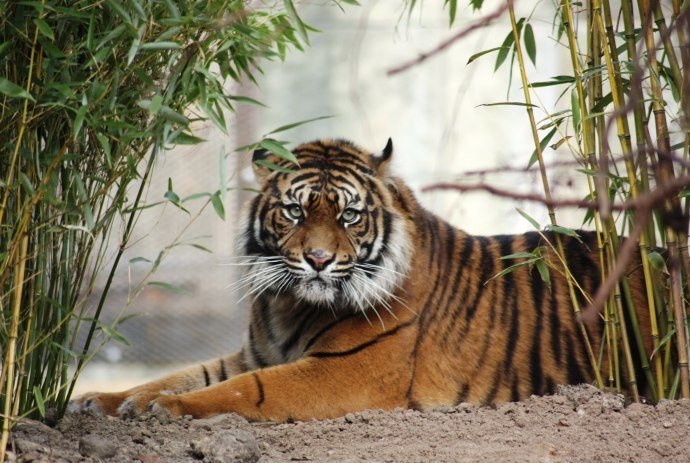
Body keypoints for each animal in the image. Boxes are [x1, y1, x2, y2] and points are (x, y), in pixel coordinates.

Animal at [71, 137, 652, 420]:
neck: (289, 304)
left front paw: (167, 410)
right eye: (295, 211)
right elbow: (180, 375)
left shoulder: (346, 371)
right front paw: (104, 401)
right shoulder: (254, 353)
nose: (318, 260)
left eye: (349, 216)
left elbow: (244, 391)